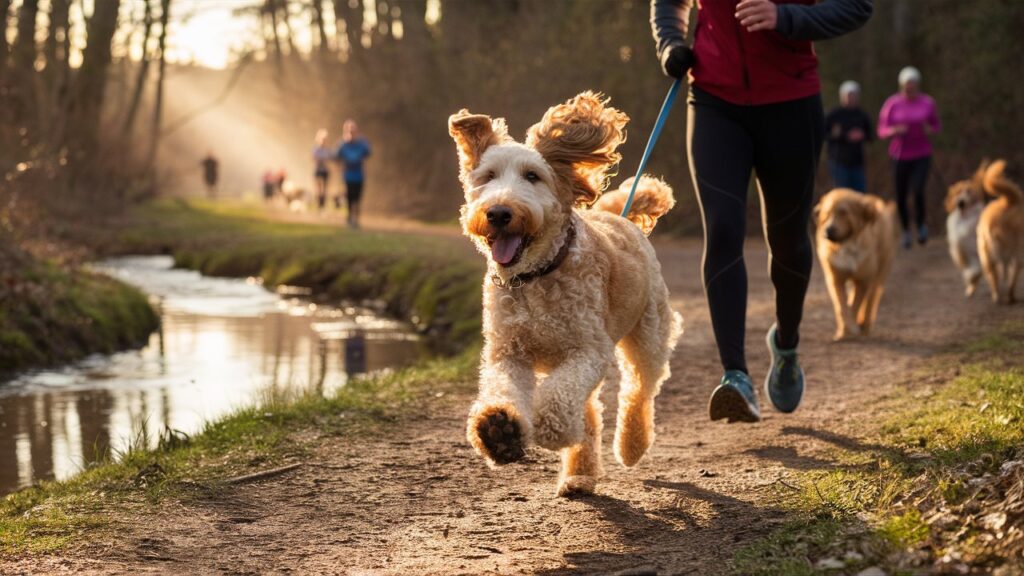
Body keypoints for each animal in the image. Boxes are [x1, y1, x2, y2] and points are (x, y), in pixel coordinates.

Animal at [446, 89, 679, 494]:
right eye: (488, 176)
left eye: (533, 176)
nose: (499, 212)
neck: (535, 277)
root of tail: (621, 216)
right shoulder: (508, 353)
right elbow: (503, 387)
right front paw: (499, 429)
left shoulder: (588, 350)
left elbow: (557, 397)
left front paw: (549, 429)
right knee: (590, 414)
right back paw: (579, 474)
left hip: (648, 336)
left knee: (639, 391)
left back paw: (630, 446)